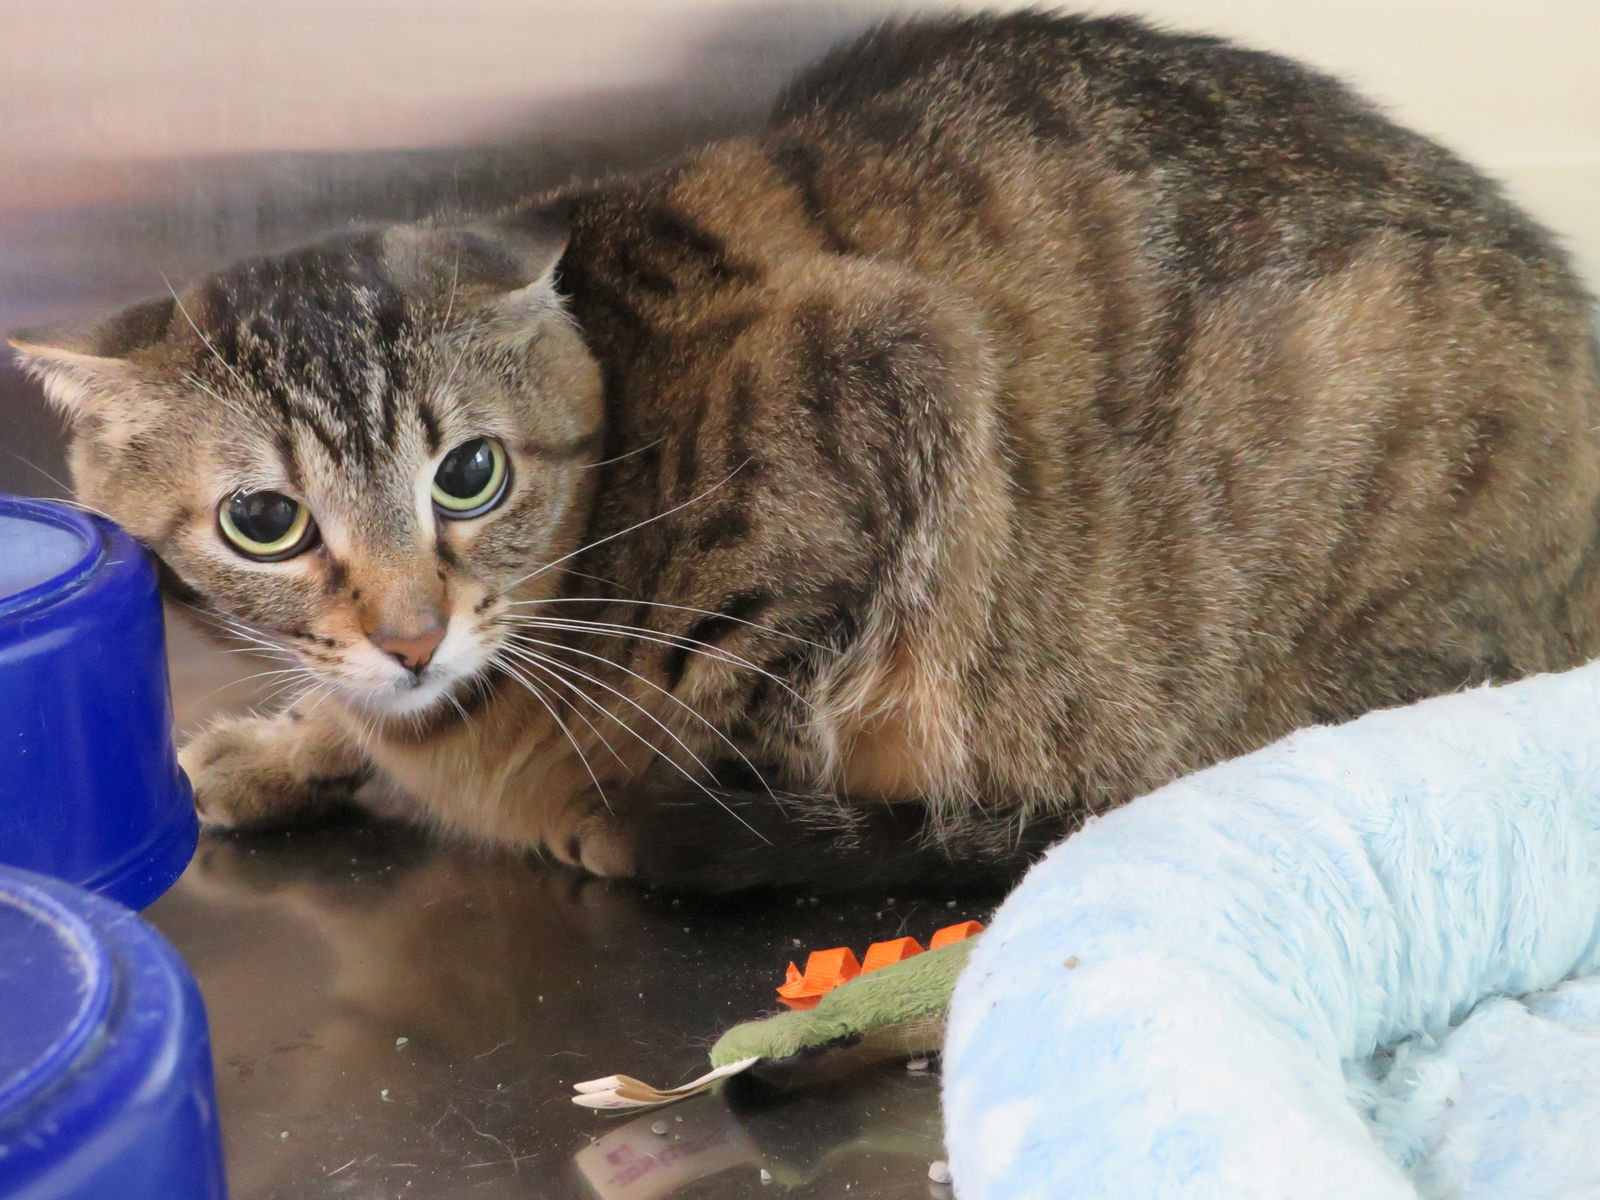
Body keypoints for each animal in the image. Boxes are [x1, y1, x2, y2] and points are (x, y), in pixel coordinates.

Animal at [12, 9, 1600, 896]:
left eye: (469, 475)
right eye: (264, 521)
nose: (410, 635)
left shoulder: (890, 377)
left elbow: (749, 691)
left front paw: (615, 805)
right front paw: (288, 746)